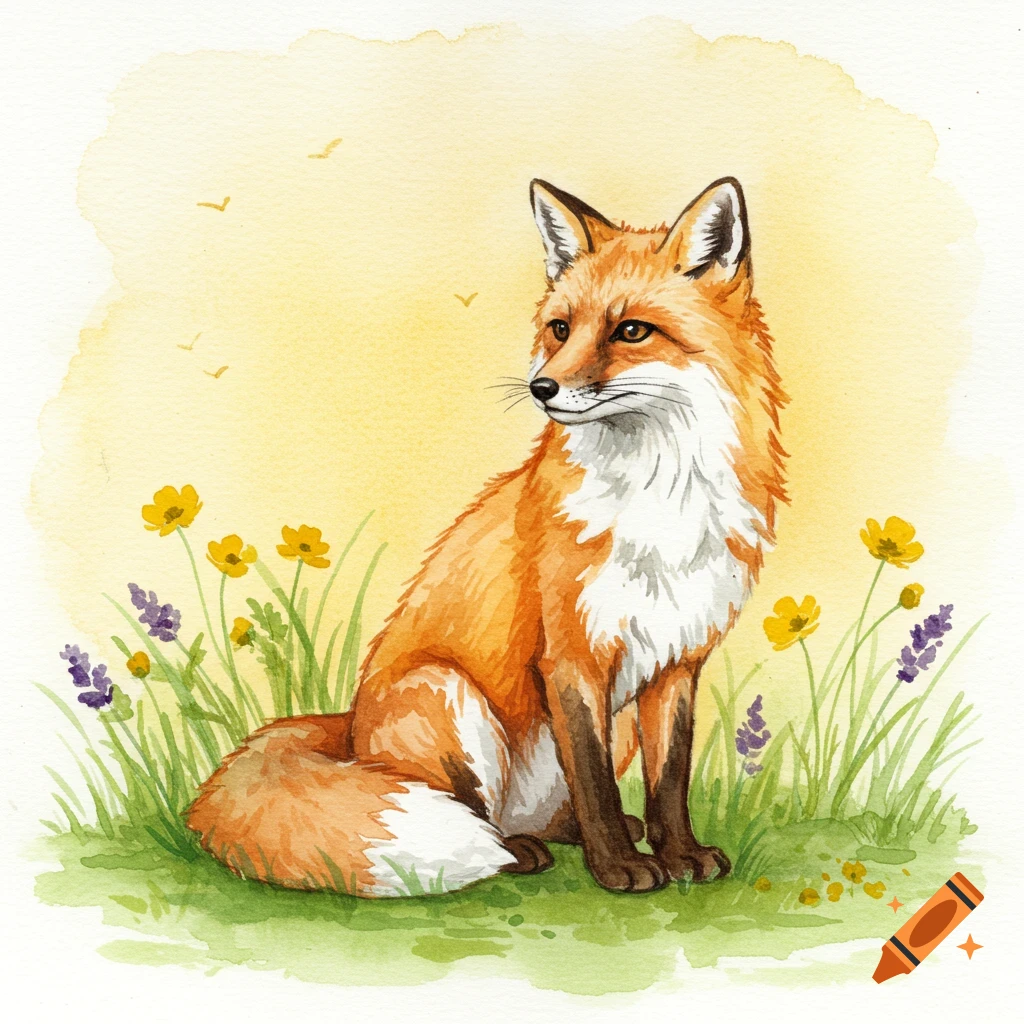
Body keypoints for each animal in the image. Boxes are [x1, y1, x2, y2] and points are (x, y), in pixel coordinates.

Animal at [186, 177, 787, 896]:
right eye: (560, 329)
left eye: (632, 331)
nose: (542, 387)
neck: (661, 502)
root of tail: (350, 730)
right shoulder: (570, 657)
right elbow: (594, 784)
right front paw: (618, 868)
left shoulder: (676, 662)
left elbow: (668, 781)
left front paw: (679, 854)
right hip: (447, 692)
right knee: (479, 815)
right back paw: (518, 852)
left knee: (557, 814)